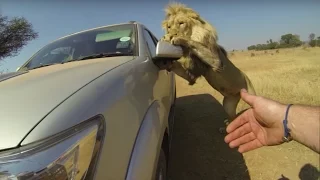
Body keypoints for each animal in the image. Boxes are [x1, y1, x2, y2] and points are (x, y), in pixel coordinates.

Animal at [159, 2, 255, 132]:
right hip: (228, 104)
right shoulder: (192, 74)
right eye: (169, 26)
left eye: (181, 23)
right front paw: (164, 60)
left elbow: (192, 42)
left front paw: (177, 38)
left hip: (250, 93)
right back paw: (226, 128)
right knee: (234, 117)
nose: (170, 34)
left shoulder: (217, 62)